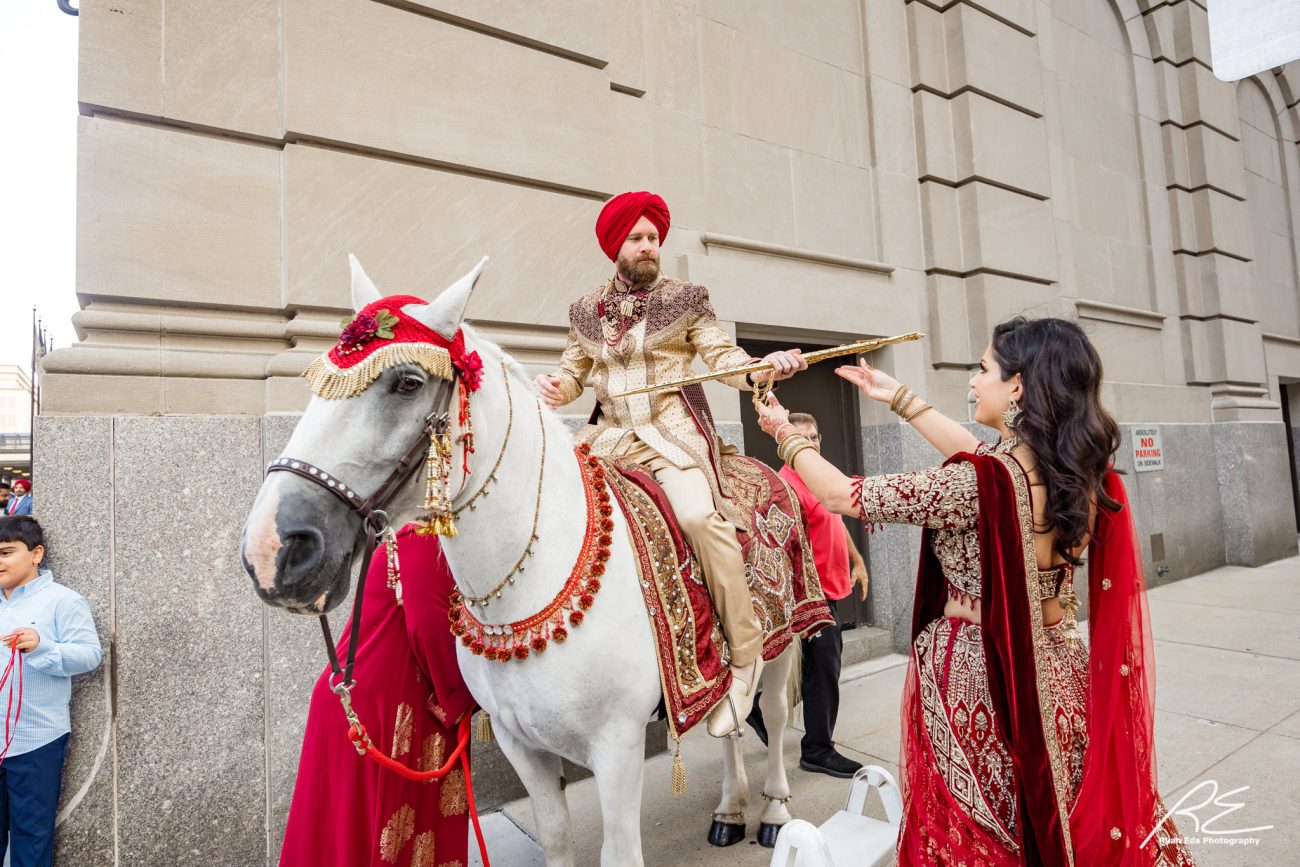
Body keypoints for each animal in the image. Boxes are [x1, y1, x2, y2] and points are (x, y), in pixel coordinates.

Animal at [239, 259, 795, 867]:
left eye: (407, 382)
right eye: (315, 384)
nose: (271, 548)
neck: (532, 581)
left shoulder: (618, 749)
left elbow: (620, 852)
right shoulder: (521, 744)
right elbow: (554, 838)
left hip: (783, 642)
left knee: (772, 711)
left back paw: (772, 812)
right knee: (731, 729)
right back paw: (728, 809)